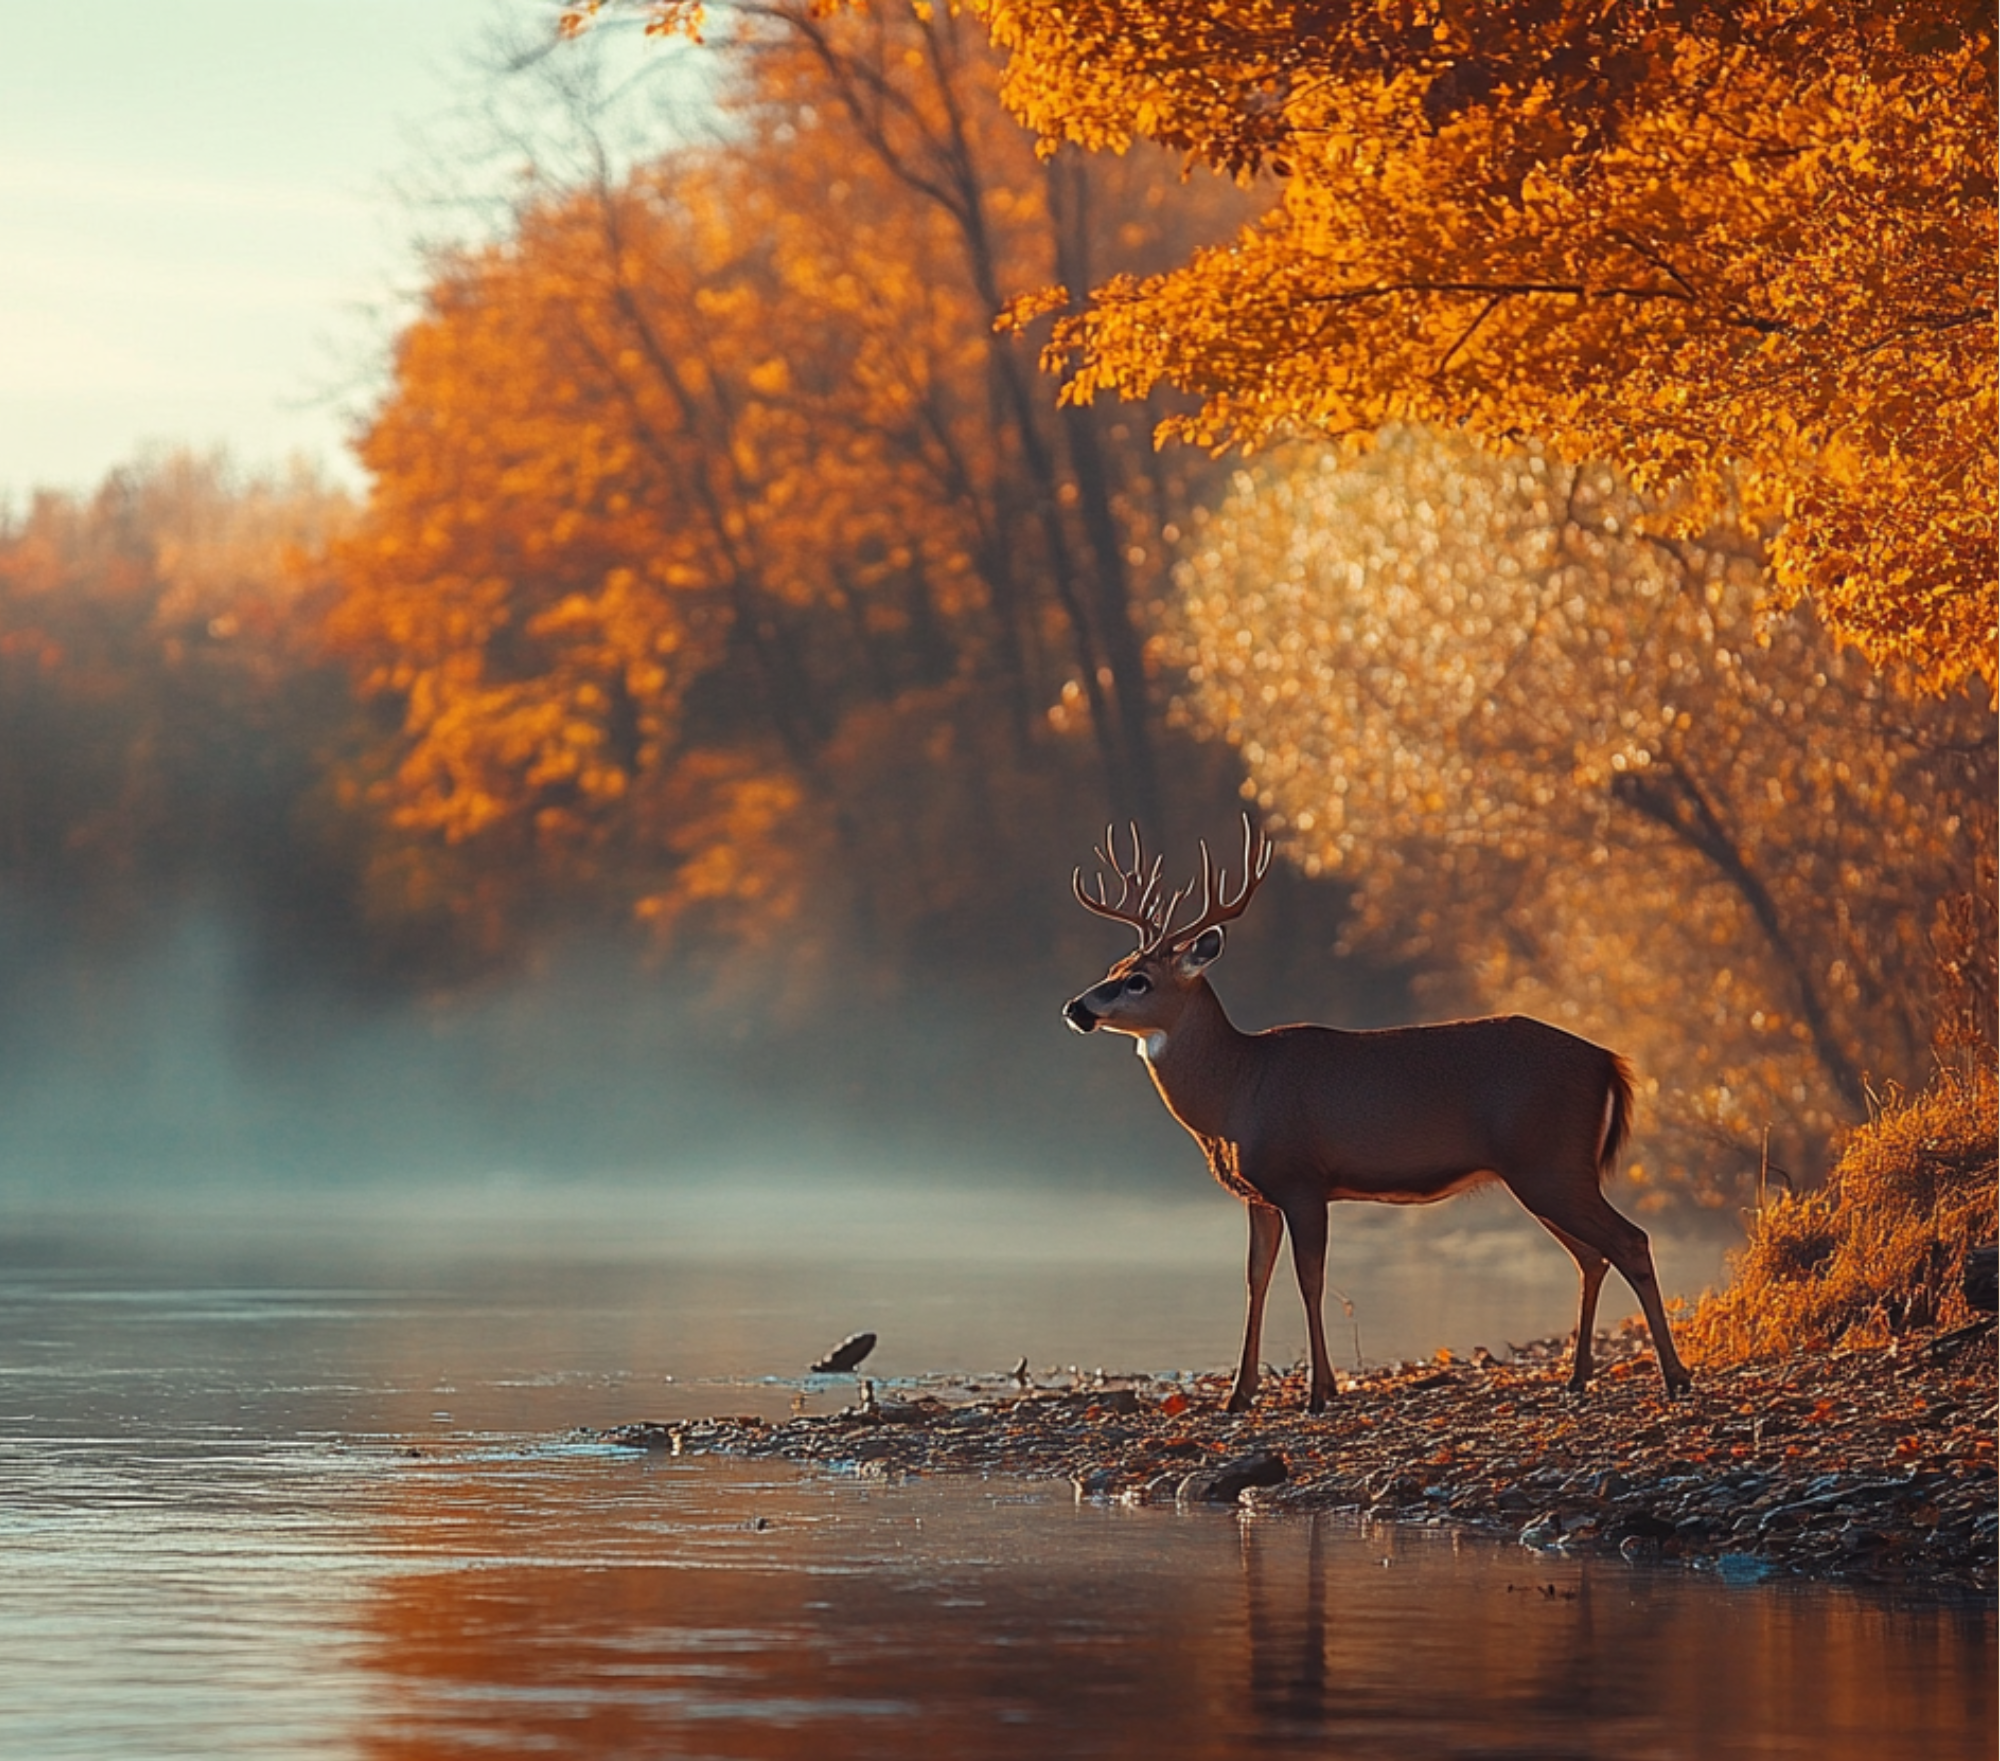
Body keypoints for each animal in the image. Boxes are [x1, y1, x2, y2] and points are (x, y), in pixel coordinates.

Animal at [1062, 815, 1692, 1413]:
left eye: (1138, 980)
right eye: (1114, 966)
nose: (1075, 1007)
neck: (1236, 1092)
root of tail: (1608, 1061)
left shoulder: (1302, 1180)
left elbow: (1309, 1280)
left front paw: (1321, 1392)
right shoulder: (1257, 1194)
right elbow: (1255, 1280)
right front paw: (1238, 1397)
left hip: (1551, 1164)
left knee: (1630, 1241)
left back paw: (1676, 1378)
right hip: (1545, 1173)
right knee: (1592, 1255)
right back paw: (1578, 1378)